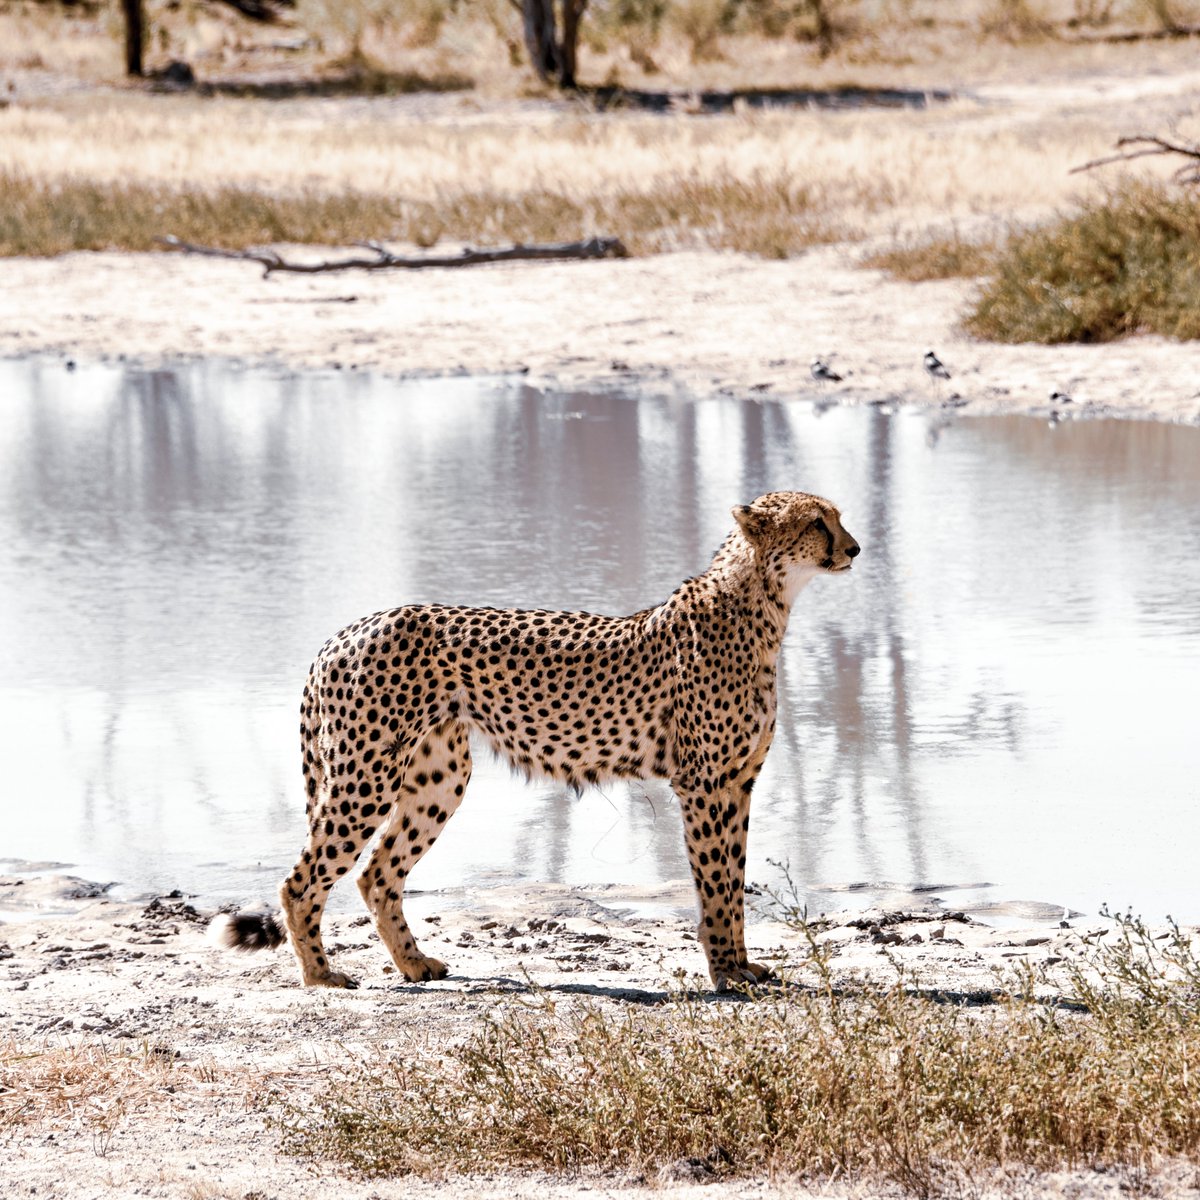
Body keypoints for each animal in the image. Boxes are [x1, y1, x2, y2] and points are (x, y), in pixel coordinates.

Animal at [213, 490, 859, 991]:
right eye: (815, 522)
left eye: (837, 515)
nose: (854, 548)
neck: (765, 605)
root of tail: (345, 630)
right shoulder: (704, 783)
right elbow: (716, 882)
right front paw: (726, 971)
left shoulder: (739, 782)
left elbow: (734, 878)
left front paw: (744, 965)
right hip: (364, 776)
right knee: (302, 880)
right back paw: (321, 975)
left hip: (438, 779)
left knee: (377, 873)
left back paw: (415, 964)